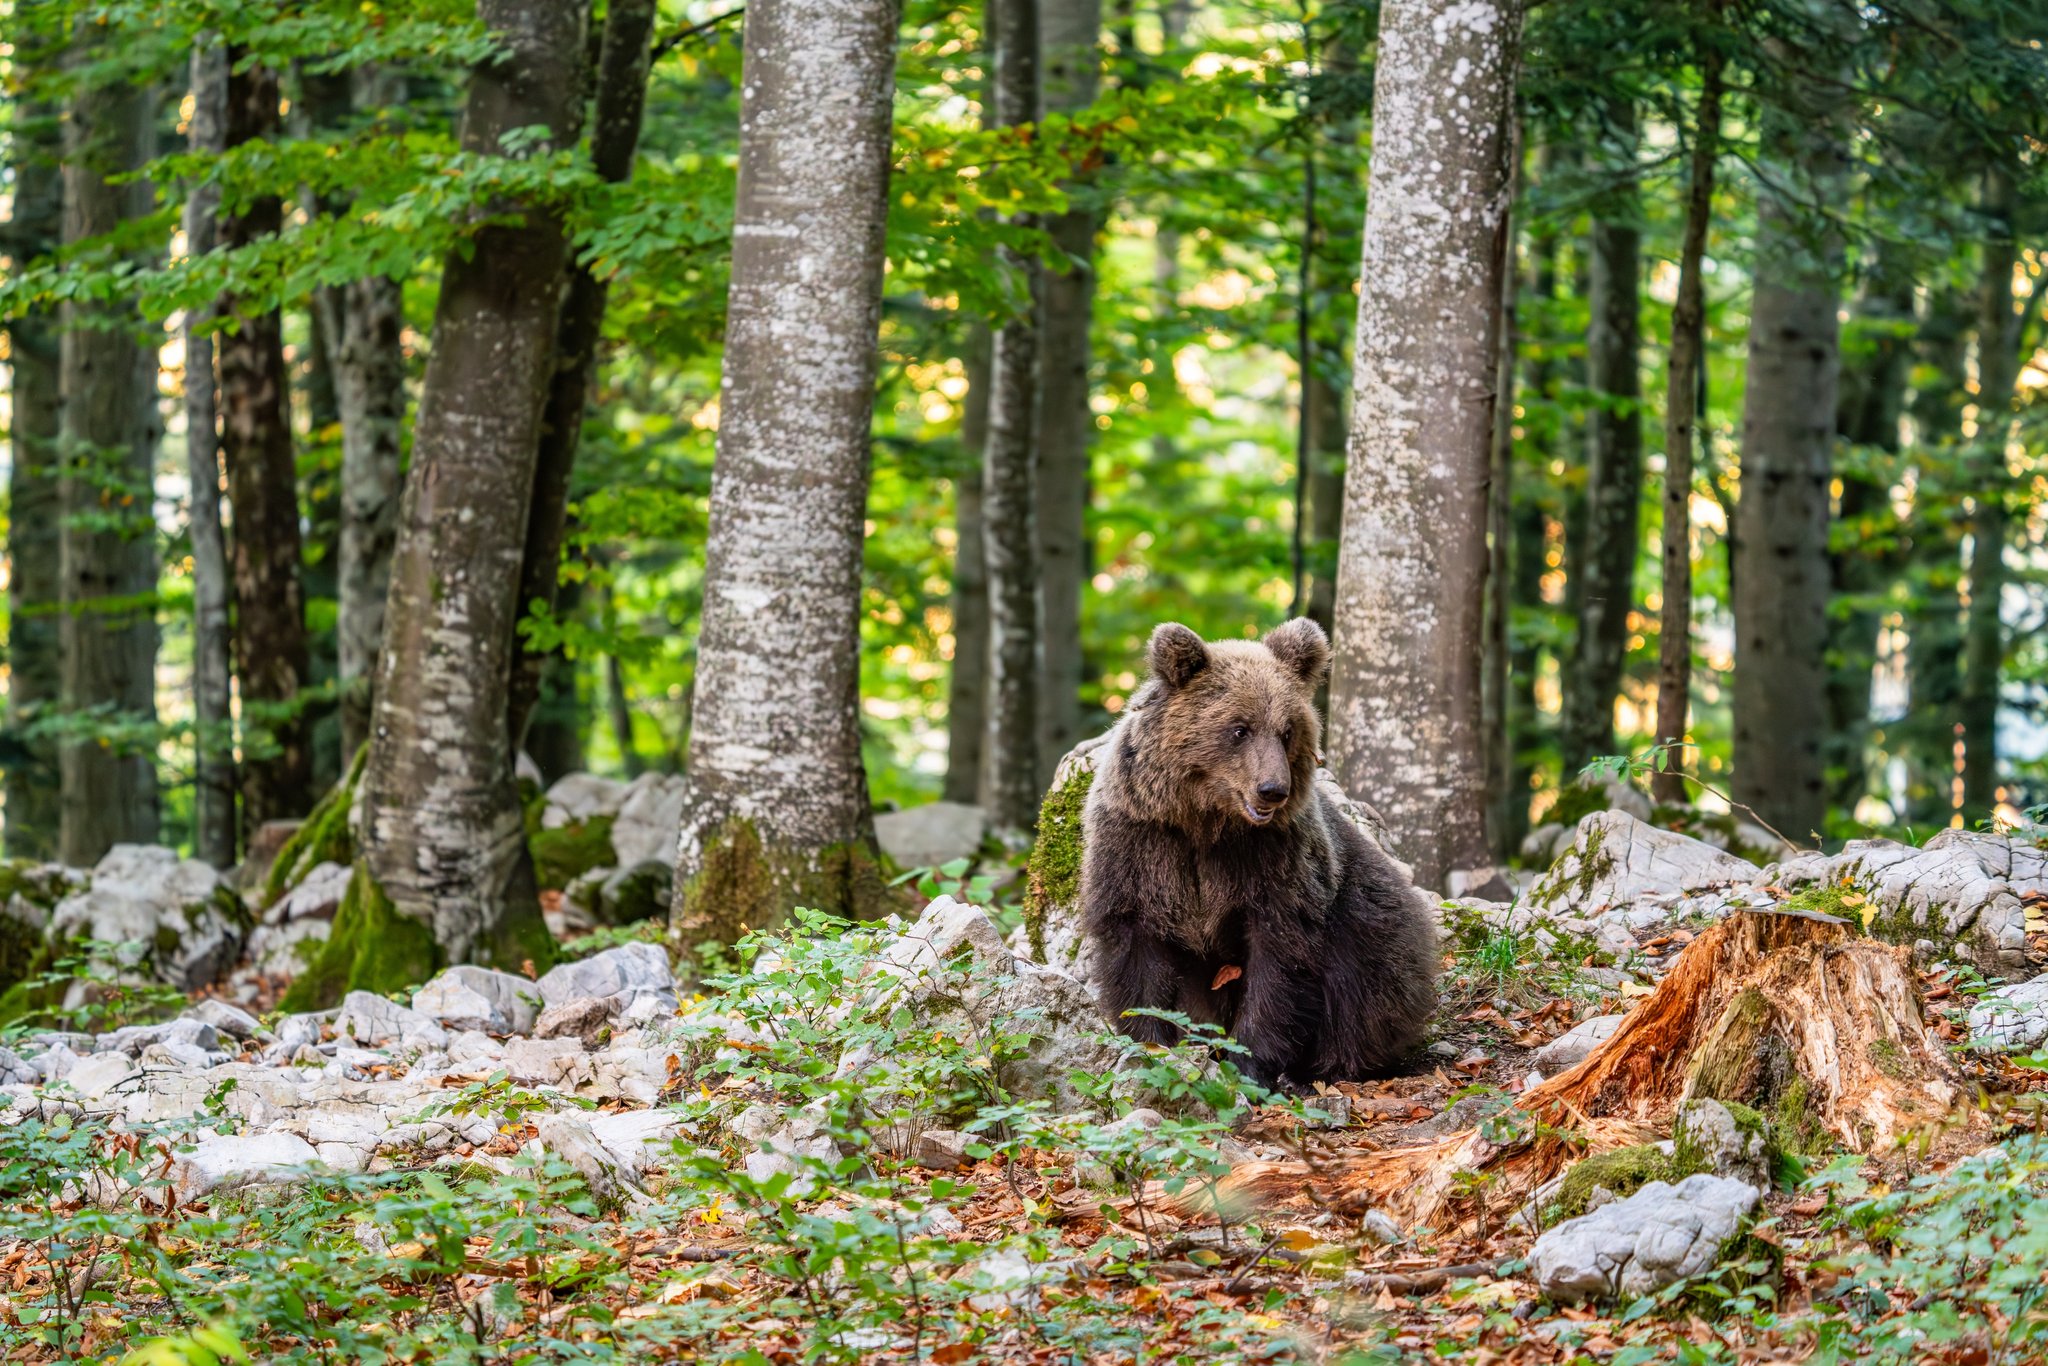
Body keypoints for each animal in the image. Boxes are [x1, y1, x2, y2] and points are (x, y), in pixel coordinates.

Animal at [1078, 617, 1439, 1088]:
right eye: (1239, 728)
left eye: (1287, 731)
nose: (1273, 789)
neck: (1206, 822)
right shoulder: (1142, 847)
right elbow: (1137, 952)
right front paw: (1150, 1046)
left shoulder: (1273, 863)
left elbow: (1278, 964)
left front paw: (1249, 1064)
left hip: (1370, 915)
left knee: (1366, 986)